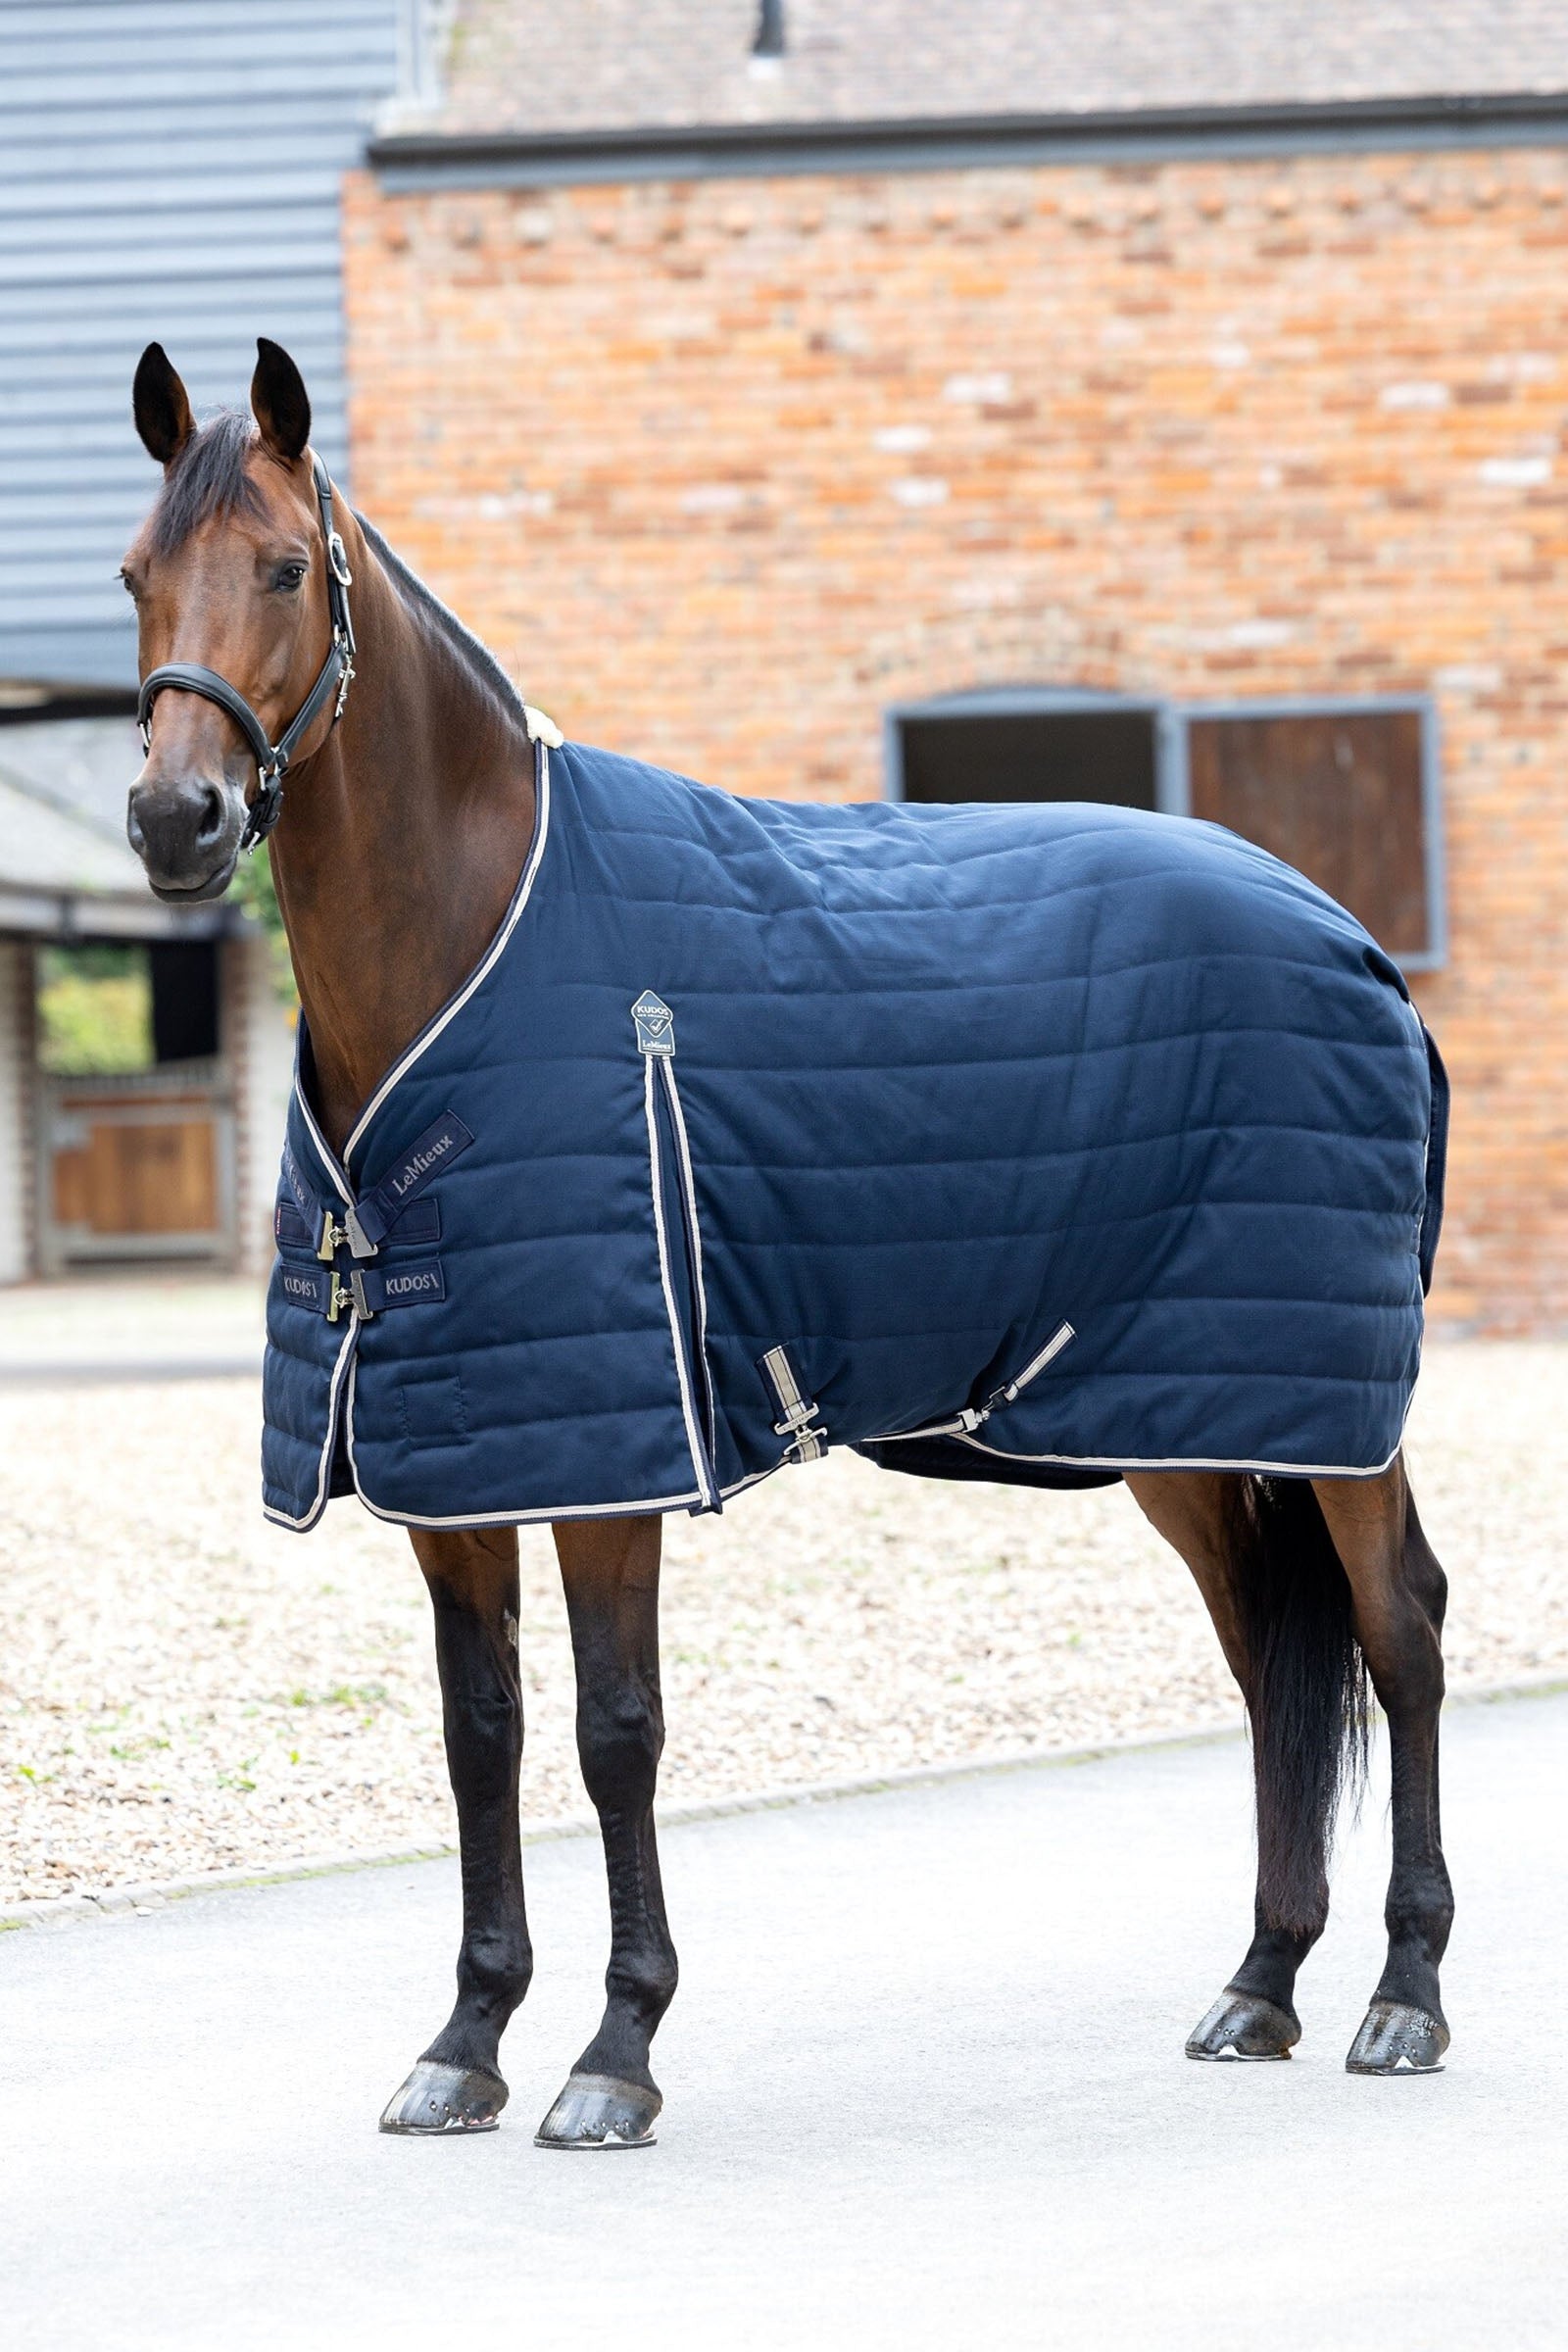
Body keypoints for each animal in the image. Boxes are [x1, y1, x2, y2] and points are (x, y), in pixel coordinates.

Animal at [120, 337, 1454, 2144]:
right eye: (136, 576)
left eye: (276, 567)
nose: (174, 820)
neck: (476, 943)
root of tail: (1348, 934)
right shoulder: (451, 1461)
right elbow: (482, 1734)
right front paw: (466, 2038)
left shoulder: (609, 1459)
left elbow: (615, 1731)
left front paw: (614, 2053)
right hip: (1183, 1413)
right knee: (1268, 1659)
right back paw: (1260, 1984)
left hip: (1329, 1411)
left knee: (1402, 1636)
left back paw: (1405, 1994)